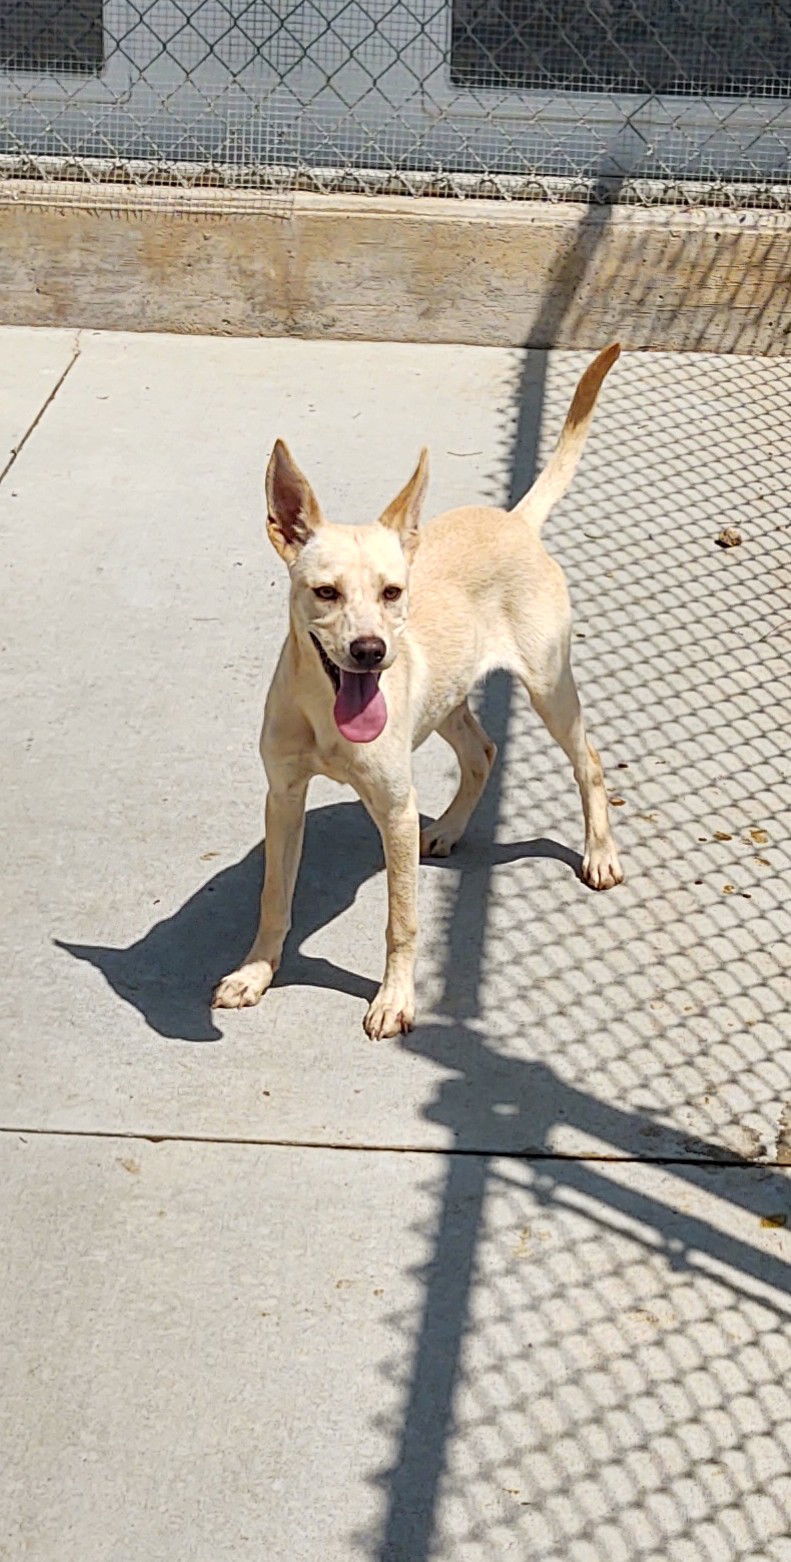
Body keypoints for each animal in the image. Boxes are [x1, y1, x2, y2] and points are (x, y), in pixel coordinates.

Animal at [212, 342, 622, 1037]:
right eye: (325, 592)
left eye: (392, 592)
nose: (371, 652)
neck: (325, 715)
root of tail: (515, 522)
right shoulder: (284, 797)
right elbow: (273, 898)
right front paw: (256, 973)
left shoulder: (396, 810)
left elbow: (400, 922)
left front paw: (395, 999)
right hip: (447, 701)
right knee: (483, 752)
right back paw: (451, 828)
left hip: (548, 686)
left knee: (588, 759)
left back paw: (599, 852)